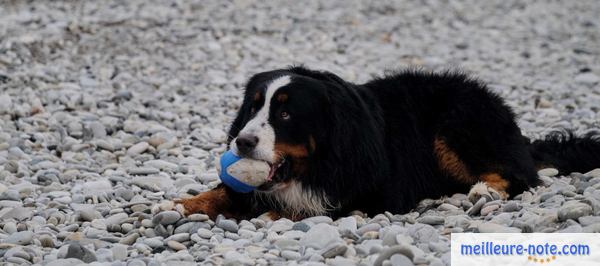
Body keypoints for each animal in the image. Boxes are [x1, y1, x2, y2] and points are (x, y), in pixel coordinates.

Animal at [172, 66, 600, 220]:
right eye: (253, 107)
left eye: (286, 115)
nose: (242, 142)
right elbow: (223, 192)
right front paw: (180, 205)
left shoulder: (366, 196)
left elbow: (294, 210)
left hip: (454, 123)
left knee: (519, 174)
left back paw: (485, 191)